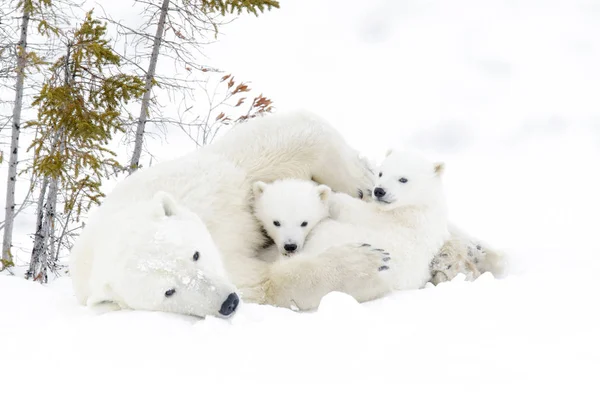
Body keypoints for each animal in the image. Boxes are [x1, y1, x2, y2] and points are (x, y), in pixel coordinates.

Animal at [69, 110, 394, 318]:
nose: (228, 302)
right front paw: (364, 262)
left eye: (195, 254)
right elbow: (267, 283)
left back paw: (361, 182)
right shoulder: (237, 278)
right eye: (169, 292)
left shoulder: (209, 188)